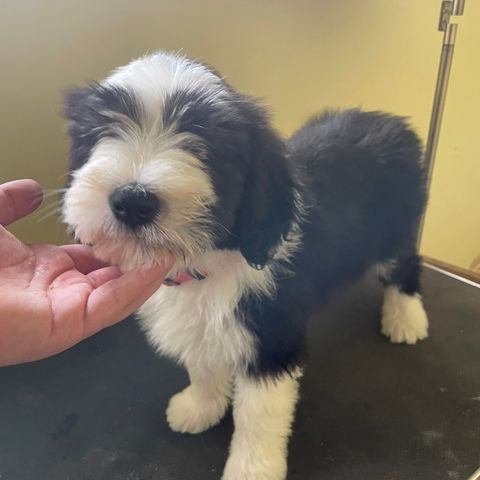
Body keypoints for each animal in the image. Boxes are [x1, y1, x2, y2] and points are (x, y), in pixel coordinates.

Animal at [62, 52, 428, 480]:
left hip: (395, 228)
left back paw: (406, 319)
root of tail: (392, 122)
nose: (133, 201)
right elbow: (203, 366)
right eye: (104, 130)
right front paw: (200, 407)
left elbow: (258, 415)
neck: (207, 261)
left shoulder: (271, 337)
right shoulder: (200, 325)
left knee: (404, 266)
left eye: (204, 146)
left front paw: (252, 467)